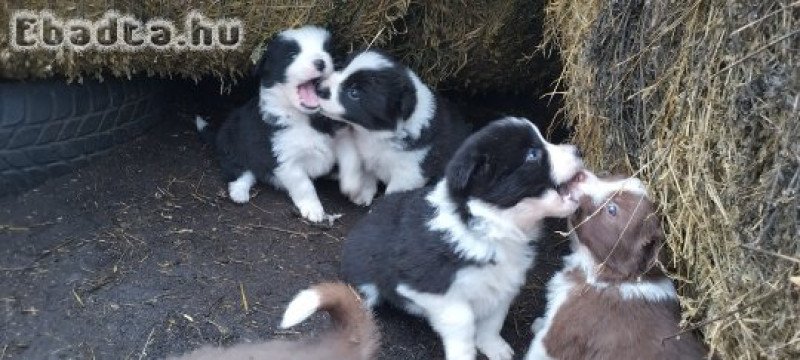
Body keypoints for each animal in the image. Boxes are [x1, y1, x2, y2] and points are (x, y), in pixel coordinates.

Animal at [199, 26, 340, 222]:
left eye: (328, 51)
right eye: (292, 55)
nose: (320, 62)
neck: (307, 119)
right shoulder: (286, 160)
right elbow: (304, 185)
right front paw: (313, 209)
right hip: (233, 149)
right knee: (242, 173)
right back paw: (239, 193)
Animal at [316, 49, 472, 205]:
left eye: (354, 93)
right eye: (341, 67)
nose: (319, 88)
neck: (373, 133)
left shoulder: (409, 173)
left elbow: (393, 193)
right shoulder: (363, 153)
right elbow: (364, 173)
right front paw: (362, 194)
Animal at [340, 116, 584, 360]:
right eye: (533, 154)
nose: (579, 151)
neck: (490, 227)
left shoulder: (503, 285)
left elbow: (494, 320)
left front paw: (494, 347)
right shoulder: (428, 286)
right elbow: (463, 321)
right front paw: (465, 353)